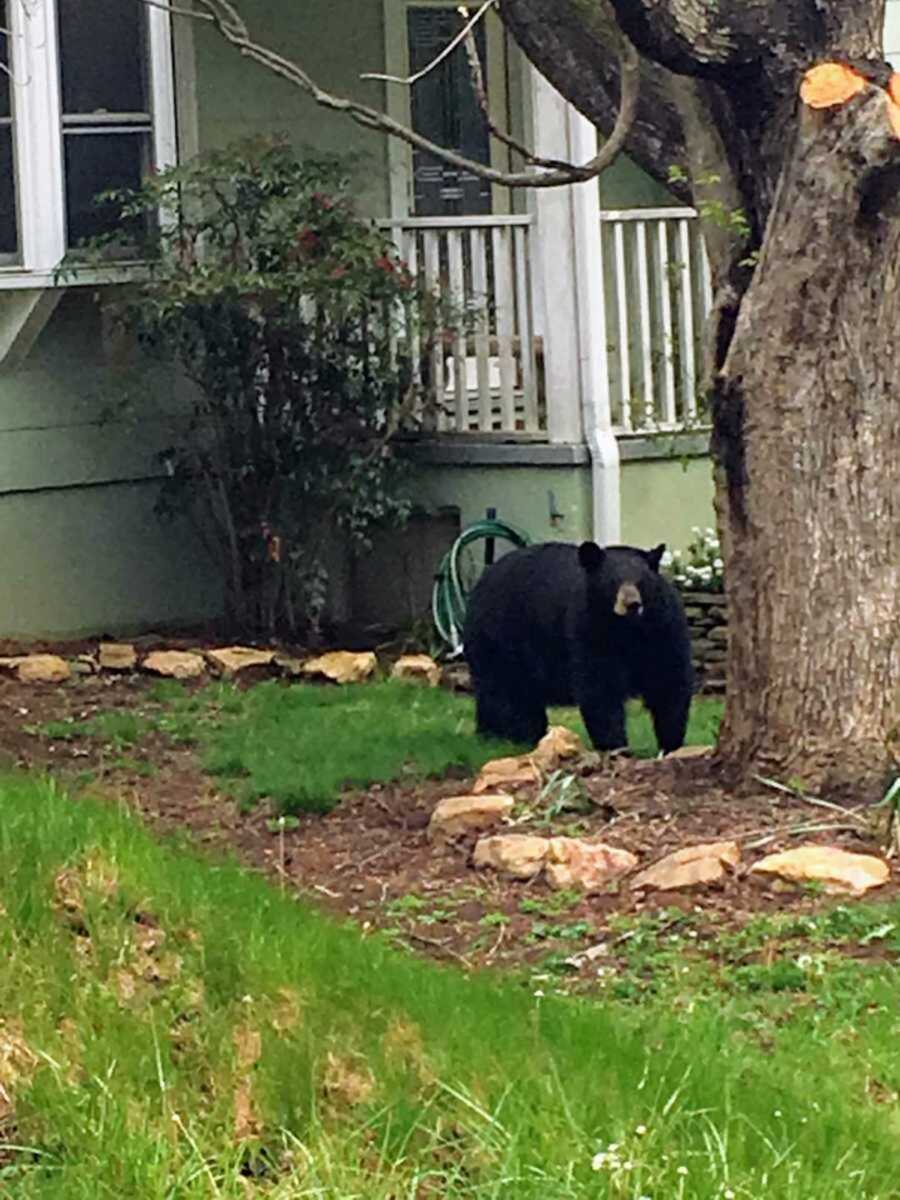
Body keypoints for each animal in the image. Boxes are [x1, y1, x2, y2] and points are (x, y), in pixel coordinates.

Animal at [465, 542, 696, 748]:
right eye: (613, 580)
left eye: (642, 581)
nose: (632, 604)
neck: (627, 630)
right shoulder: (587, 630)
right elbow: (599, 687)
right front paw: (615, 745)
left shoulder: (664, 629)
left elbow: (669, 680)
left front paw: (672, 742)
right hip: (500, 639)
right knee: (504, 692)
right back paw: (510, 735)